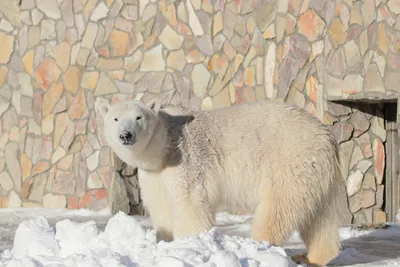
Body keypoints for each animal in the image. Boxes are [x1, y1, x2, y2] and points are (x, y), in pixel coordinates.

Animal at [95, 99, 348, 267]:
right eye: (115, 118)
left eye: (139, 117)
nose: (126, 135)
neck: (164, 147)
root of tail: (327, 136)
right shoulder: (155, 175)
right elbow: (162, 207)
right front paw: (164, 242)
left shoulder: (185, 161)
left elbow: (190, 204)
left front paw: (190, 244)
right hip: (316, 172)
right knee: (319, 217)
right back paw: (313, 257)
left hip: (290, 160)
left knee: (278, 209)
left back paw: (259, 248)